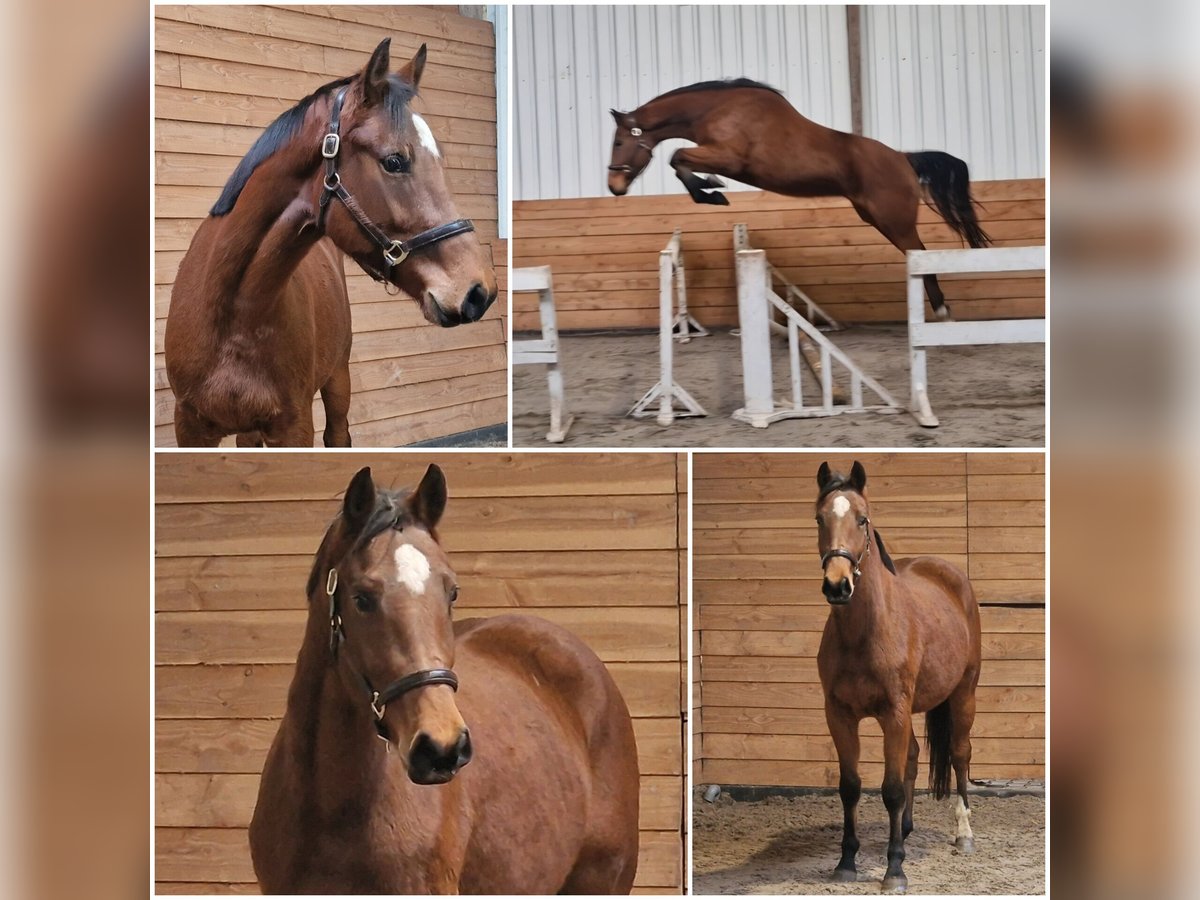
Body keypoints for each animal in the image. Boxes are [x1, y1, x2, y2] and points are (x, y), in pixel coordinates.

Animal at [164, 39, 498, 447]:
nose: (479, 291)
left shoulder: (294, 426)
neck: (232, 318)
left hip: (339, 379)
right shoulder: (190, 427)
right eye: (394, 161)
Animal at [606, 79, 991, 320]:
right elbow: (680, 161)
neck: (717, 109)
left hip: (894, 221)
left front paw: (711, 192)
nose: (614, 186)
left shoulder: (729, 158)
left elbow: (678, 158)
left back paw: (941, 310)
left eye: (619, 142)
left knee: (921, 255)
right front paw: (711, 190)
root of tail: (904, 158)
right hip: (877, 219)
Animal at [813, 461, 982, 894]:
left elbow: (889, 789)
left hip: (963, 694)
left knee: (960, 754)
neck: (864, 633)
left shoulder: (894, 713)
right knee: (913, 757)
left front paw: (894, 871)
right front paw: (847, 861)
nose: (837, 585)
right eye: (820, 518)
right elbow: (851, 786)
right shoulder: (840, 716)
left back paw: (964, 835)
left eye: (863, 519)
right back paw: (904, 830)